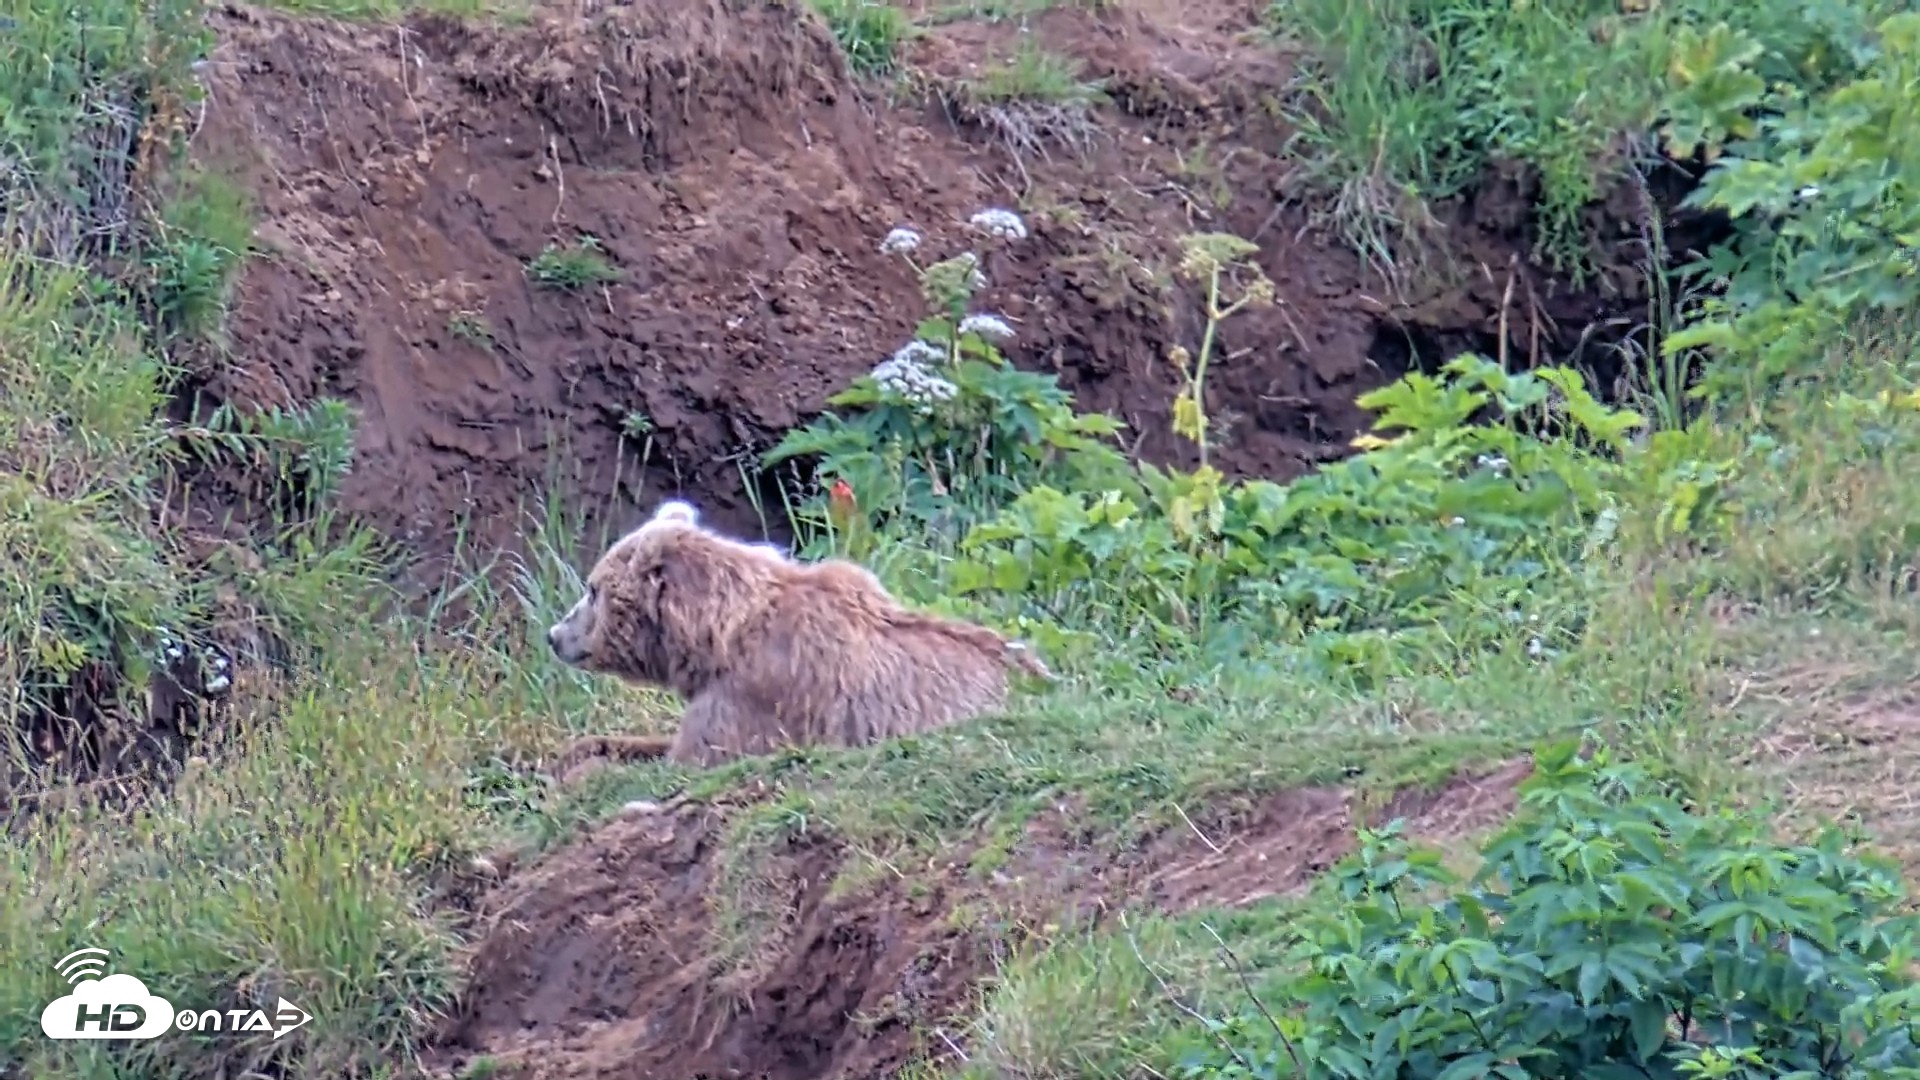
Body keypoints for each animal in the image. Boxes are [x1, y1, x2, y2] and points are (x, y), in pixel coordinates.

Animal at [545, 499, 1053, 769]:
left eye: (592, 589)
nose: (555, 634)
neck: (718, 635)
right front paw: (587, 747)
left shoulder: (757, 694)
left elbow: (695, 756)